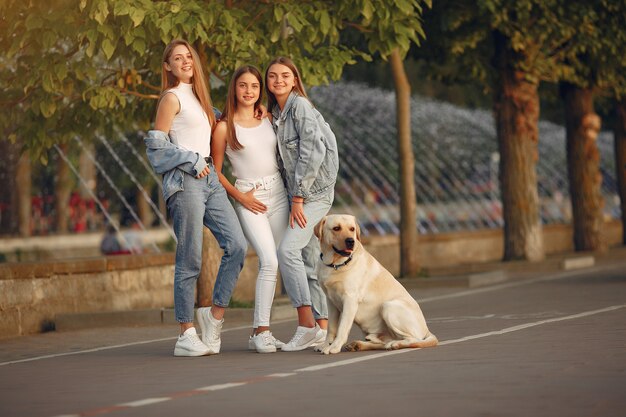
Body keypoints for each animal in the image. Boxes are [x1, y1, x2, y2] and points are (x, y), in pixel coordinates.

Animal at [314, 214, 436, 354]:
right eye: (336, 228)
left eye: (352, 229)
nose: (351, 241)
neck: (335, 265)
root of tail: (426, 329)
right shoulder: (330, 301)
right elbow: (331, 327)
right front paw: (325, 345)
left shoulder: (350, 300)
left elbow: (342, 328)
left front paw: (334, 346)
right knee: (382, 342)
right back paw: (359, 345)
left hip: (388, 306)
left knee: (413, 339)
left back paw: (395, 344)